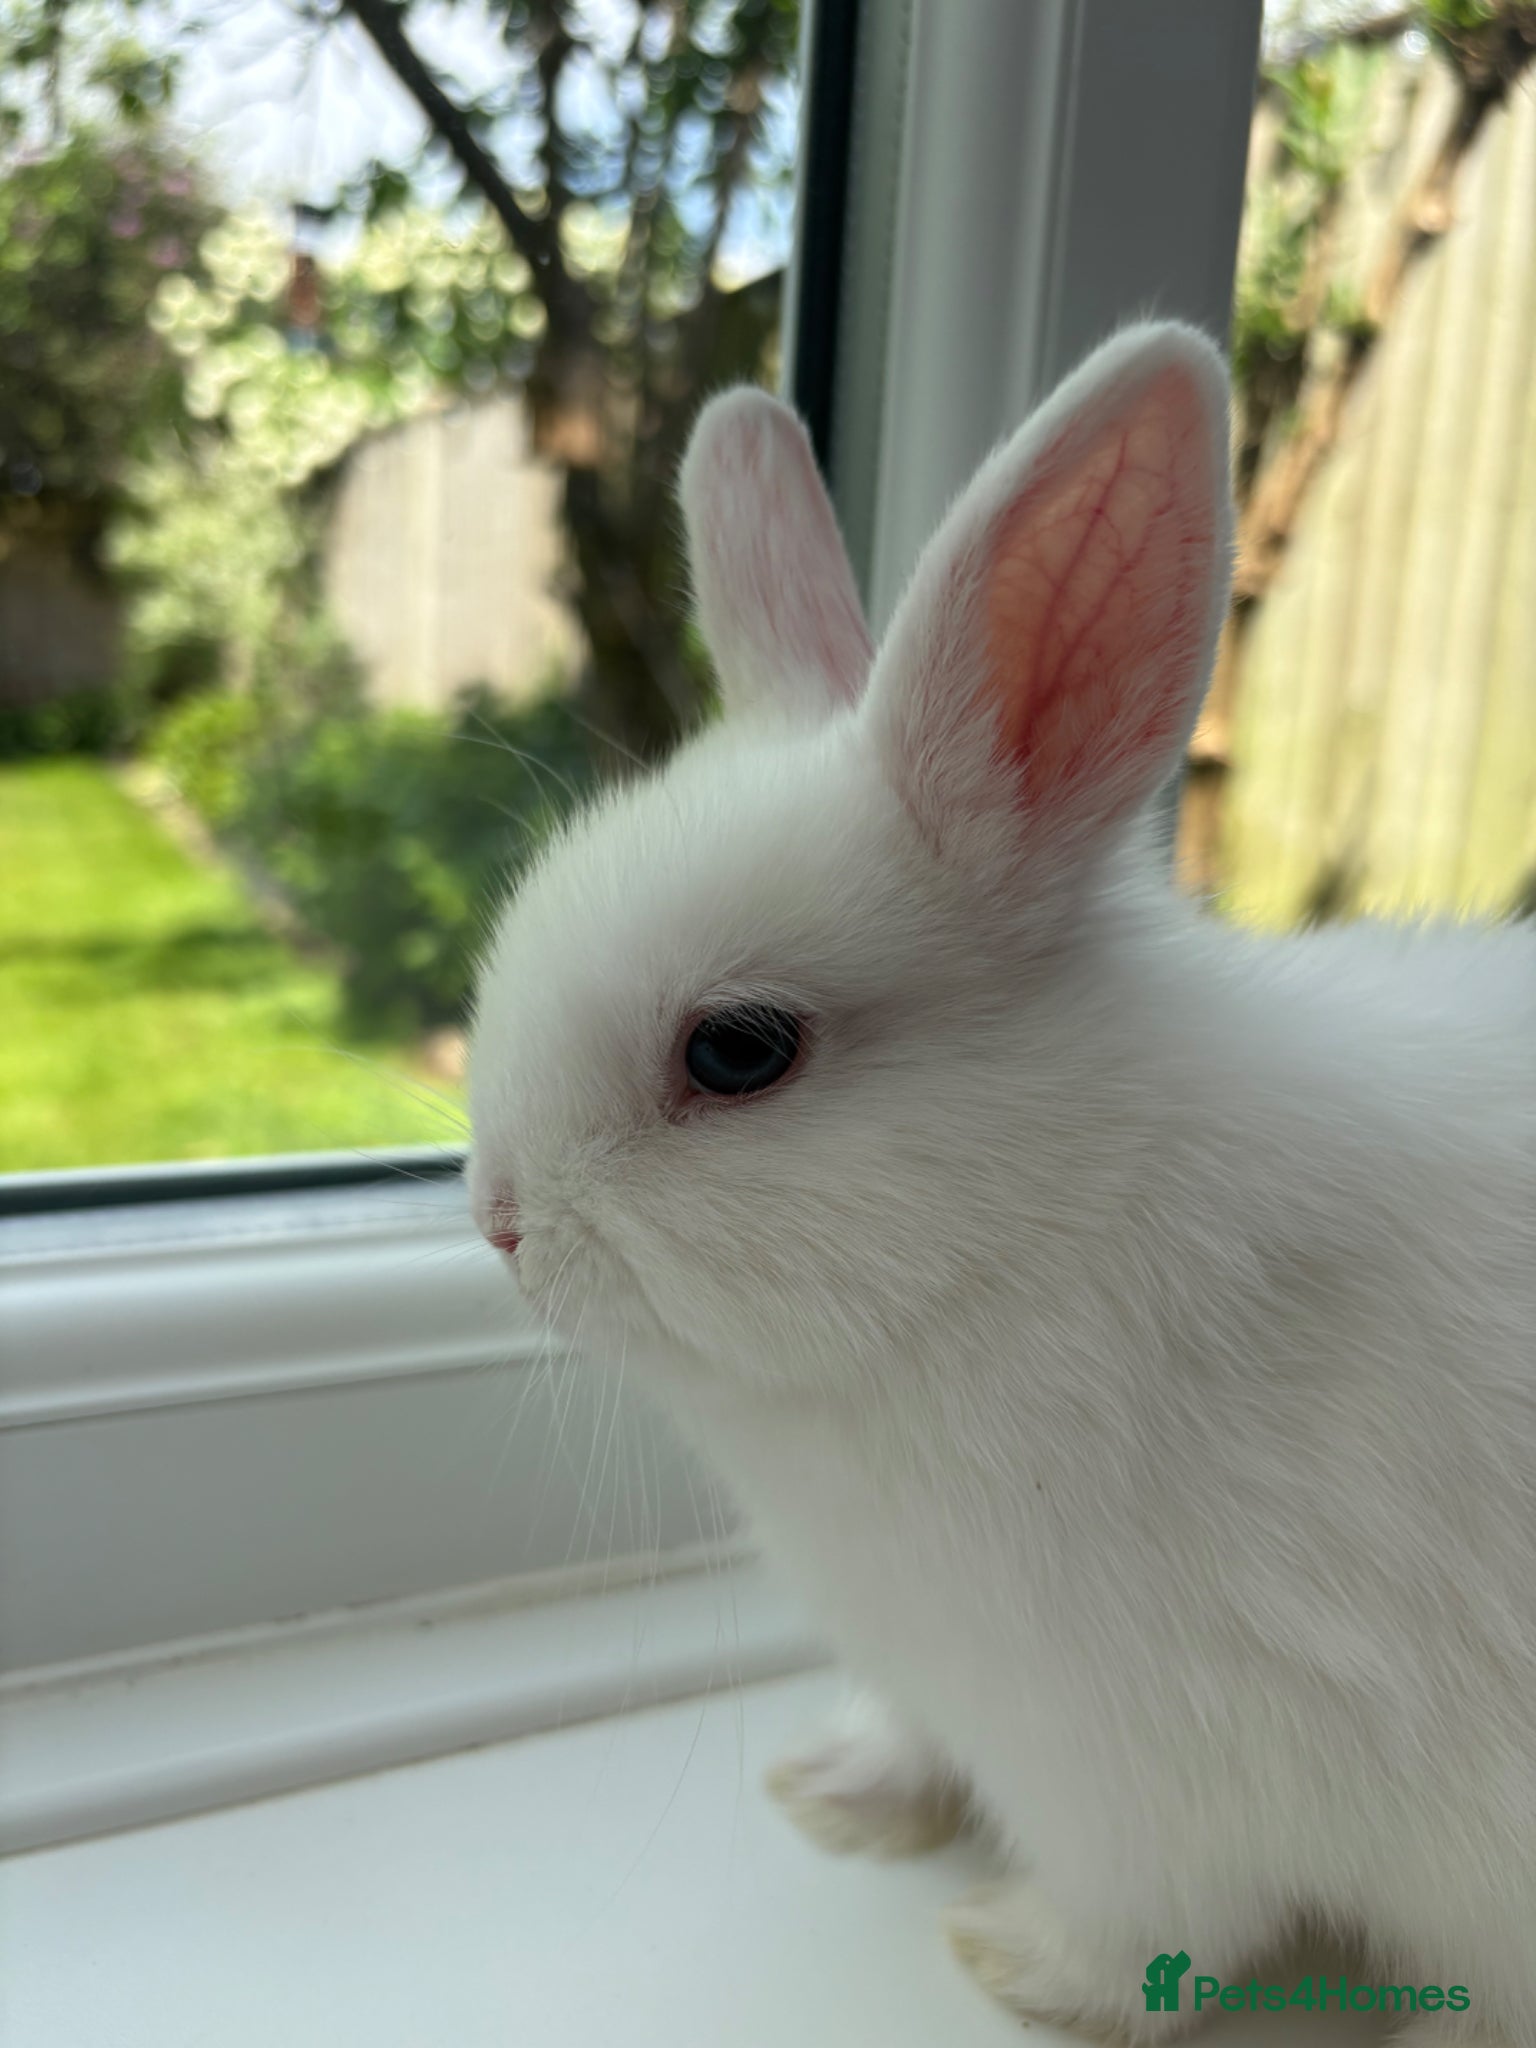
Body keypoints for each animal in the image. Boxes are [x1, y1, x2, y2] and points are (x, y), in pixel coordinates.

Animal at [467, 321, 1536, 2046]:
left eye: (738, 1052)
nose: (497, 1220)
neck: (1036, 1228)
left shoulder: (1152, 1776)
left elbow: (1151, 1924)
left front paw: (1009, 1962)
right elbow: (911, 1743)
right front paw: (836, 1793)